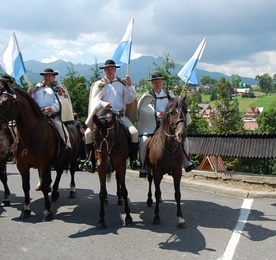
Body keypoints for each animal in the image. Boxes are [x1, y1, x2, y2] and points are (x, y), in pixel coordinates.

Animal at [0, 85, 81, 221]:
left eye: (5, 102)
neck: (30, 135)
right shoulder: (22, 165)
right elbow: (25, 186)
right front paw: (26, 210)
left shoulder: (43, 164)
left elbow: (44, 185)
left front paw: (47, 212)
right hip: (58, 158)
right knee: (59, 171)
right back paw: (54, 193)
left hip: (72, 156)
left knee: (72, 171)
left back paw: (72, 190)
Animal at [147, 96, 188, 229]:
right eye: (172, 112)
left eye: (185, 111)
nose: (182, 134)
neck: (169, 147)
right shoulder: (157, 171)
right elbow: (157, 192)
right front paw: (156, 217)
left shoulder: (177, 172)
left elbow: (178, 194)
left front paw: (180, 218)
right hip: (150, 169)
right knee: (150, 181)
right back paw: (149, 200)